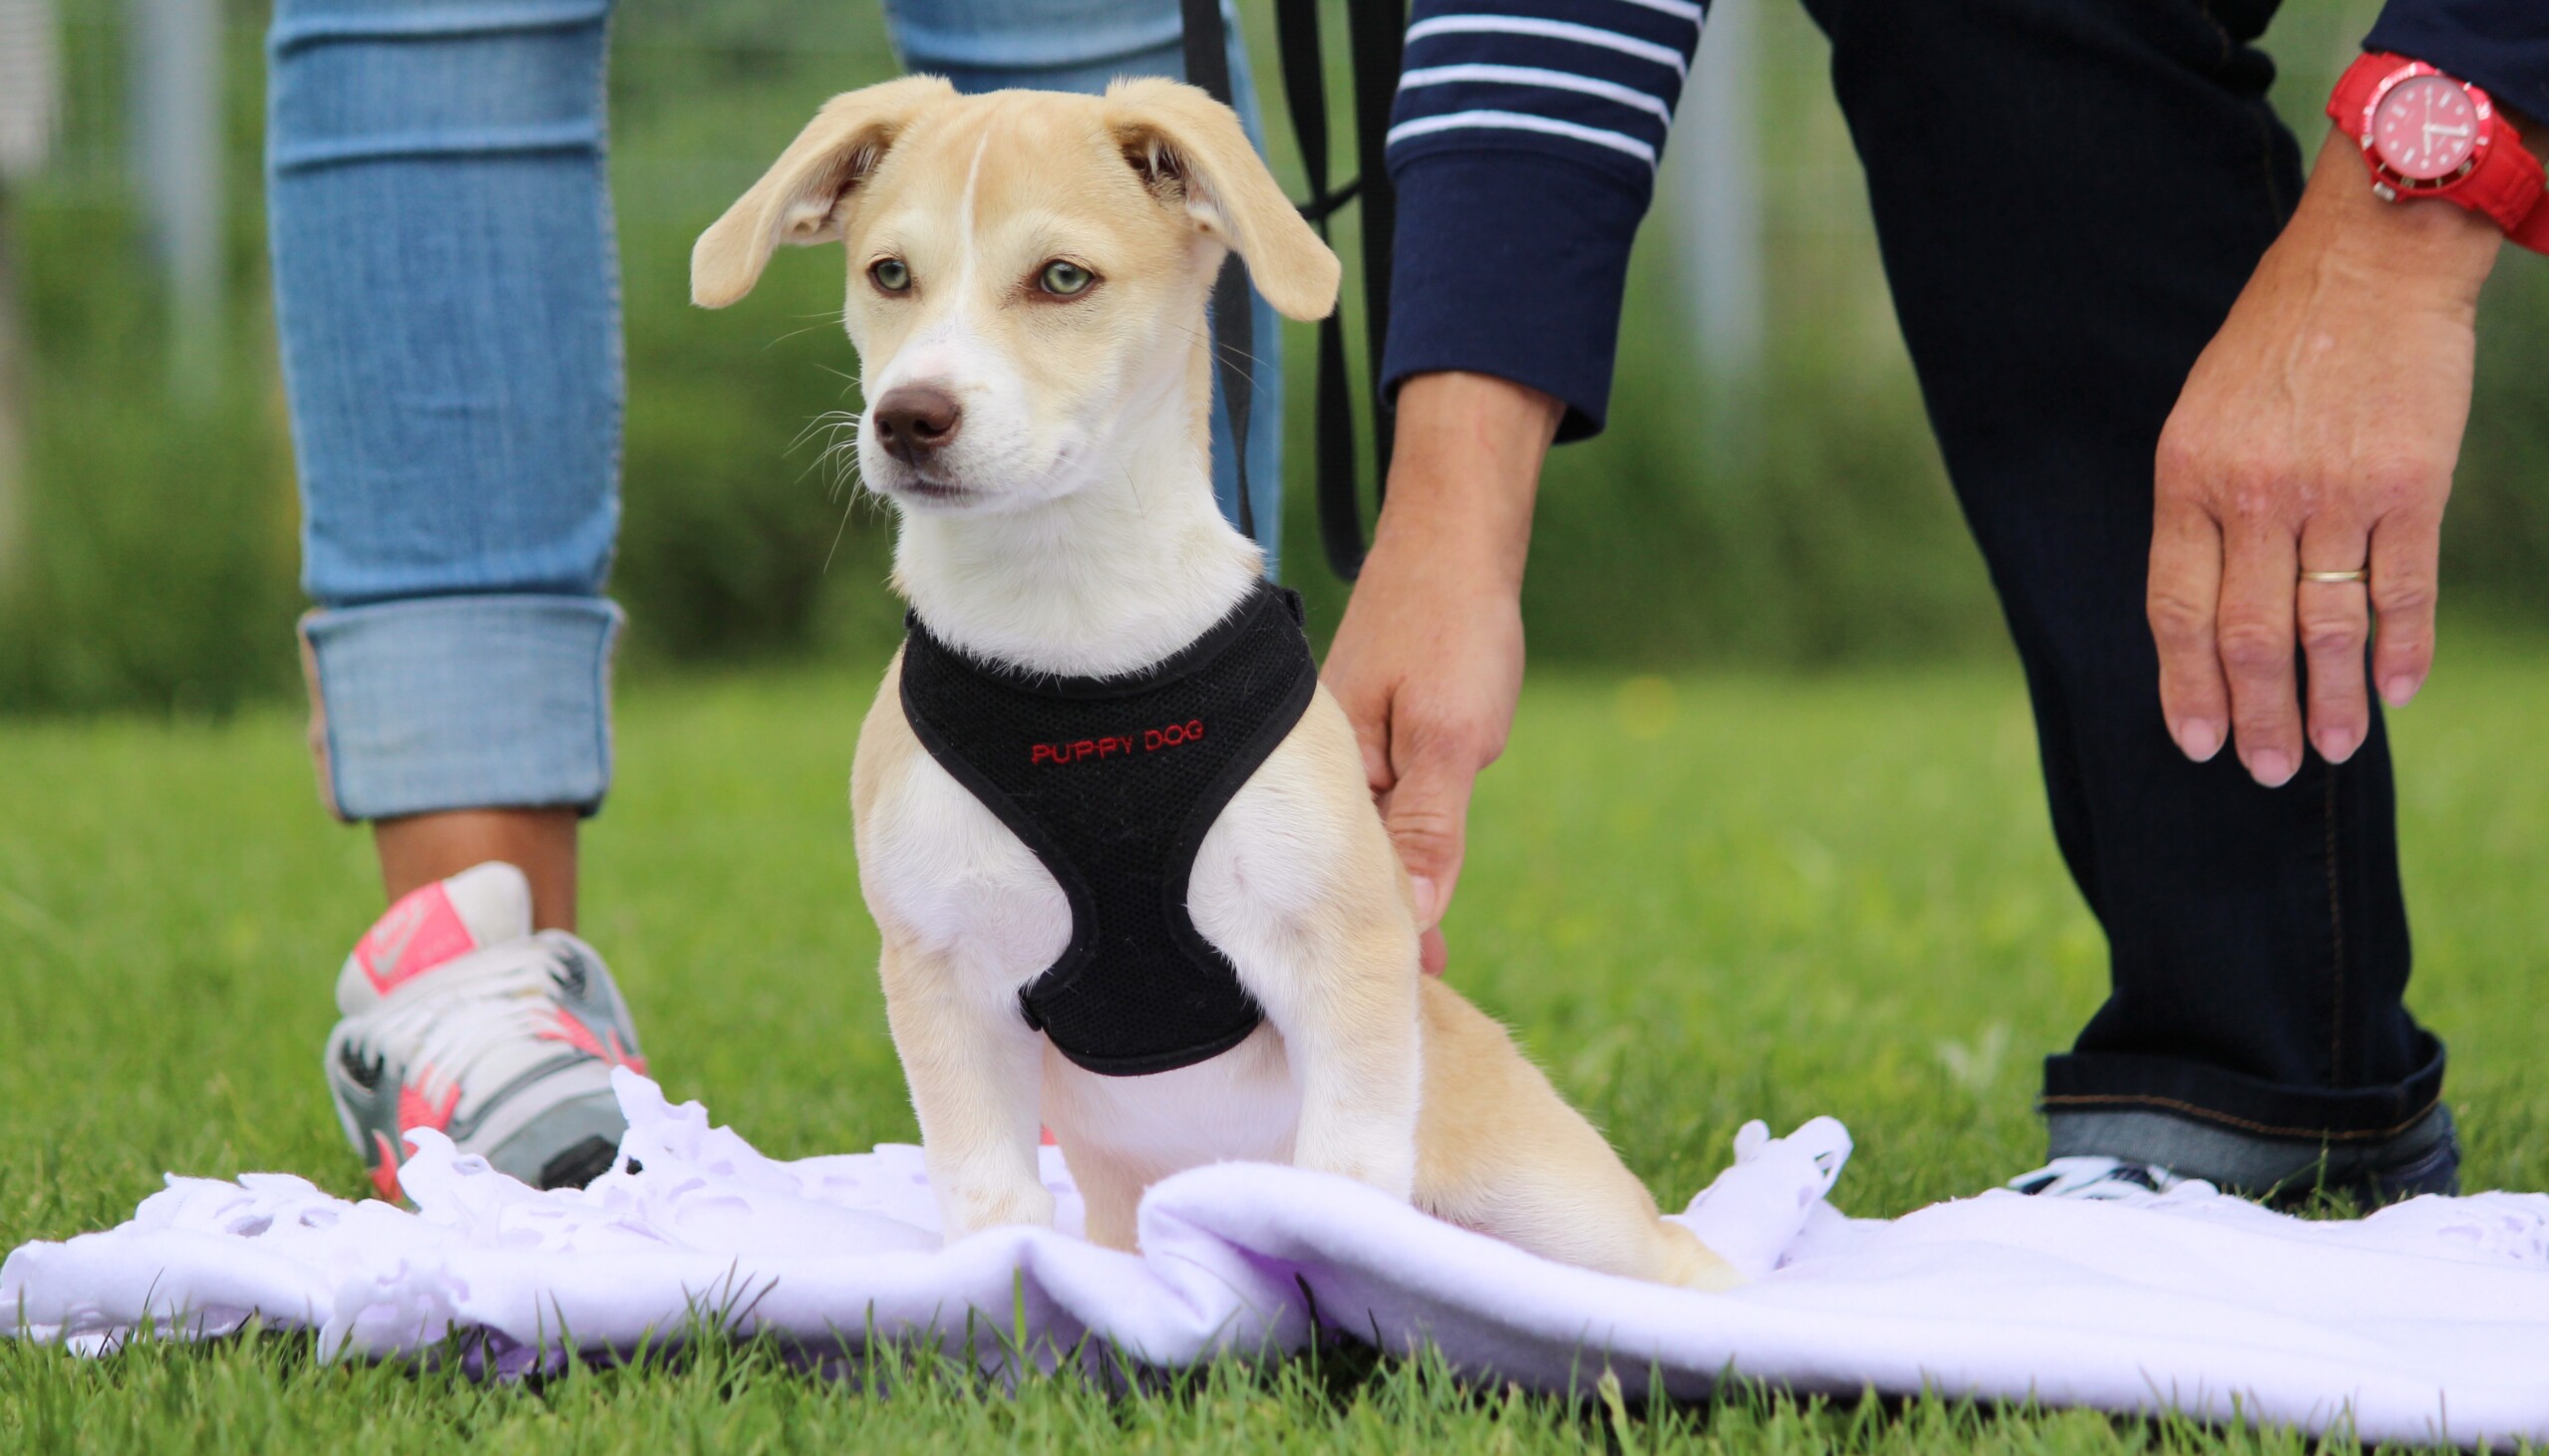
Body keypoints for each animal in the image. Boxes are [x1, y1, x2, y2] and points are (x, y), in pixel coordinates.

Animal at [693, 77, 1733, 1300]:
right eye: (888, 274)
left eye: (1062, 279)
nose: (909, 417)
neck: (1073, 635)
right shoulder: (941, 977)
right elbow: (990, 1198)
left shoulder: (1343, 950)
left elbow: (1343, 1181)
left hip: (1555, 1202)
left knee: (1676, 1254)